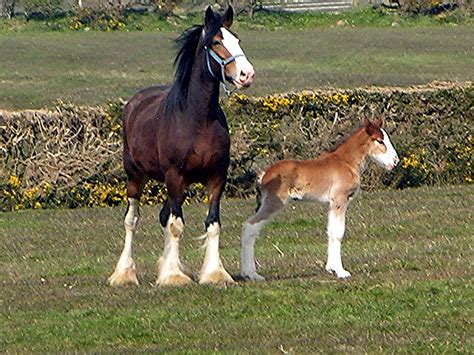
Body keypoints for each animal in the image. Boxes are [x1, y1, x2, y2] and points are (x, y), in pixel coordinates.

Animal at [108, 5, 256, 288]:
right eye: (216, 42)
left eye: (237, 39)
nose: (247, 74)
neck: (197, 119)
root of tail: (134, 103)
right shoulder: (174, 176)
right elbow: (176, 225)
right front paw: (174, 277)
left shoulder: (216, 177)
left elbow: (212, 223)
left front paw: (214, 273)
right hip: (136, 177)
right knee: (132, 220)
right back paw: (124, 273)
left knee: (164, 216)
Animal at [241, 119, 400, 280]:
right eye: (380, 141)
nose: (395, 161)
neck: (346, 162)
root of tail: (264, 174)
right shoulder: (340, 200)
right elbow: (338, 232)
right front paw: (341, 271)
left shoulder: (332, 203)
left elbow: (331, 231)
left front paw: (331, 268)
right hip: (273, 203)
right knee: (250, 226)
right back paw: (251, 274)